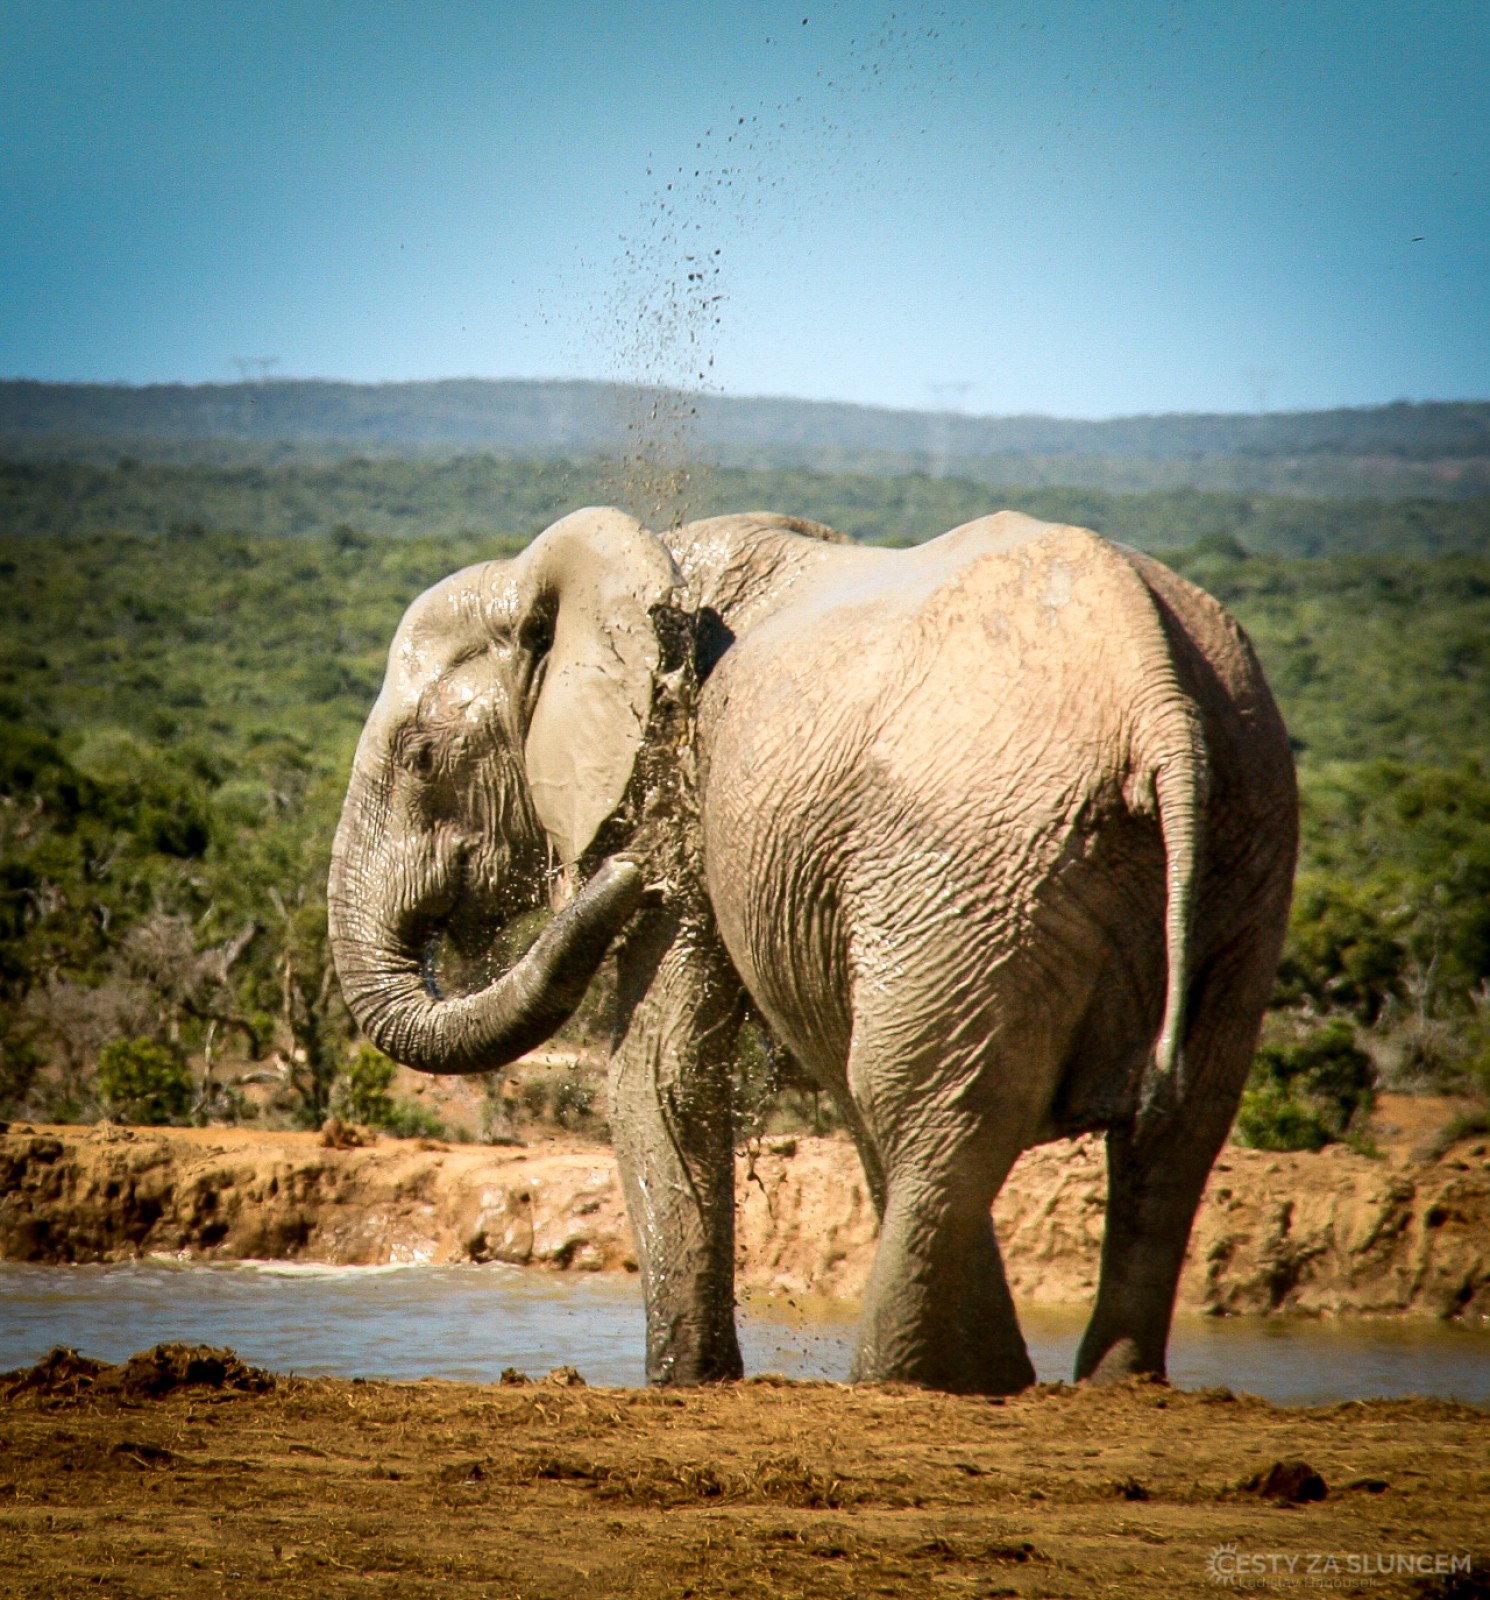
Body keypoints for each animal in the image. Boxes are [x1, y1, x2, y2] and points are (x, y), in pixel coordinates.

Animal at [328, 505, 1297, 1394]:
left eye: (421, 759)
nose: (624, 877)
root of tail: (1155, 696)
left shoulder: (679, 779)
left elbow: (660, 1071)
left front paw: (687, 1385)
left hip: (976, 859)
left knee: (931, 1104)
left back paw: (900, 1382)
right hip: (1240, 840)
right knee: (1175, 1126)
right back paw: (1095, 1385)